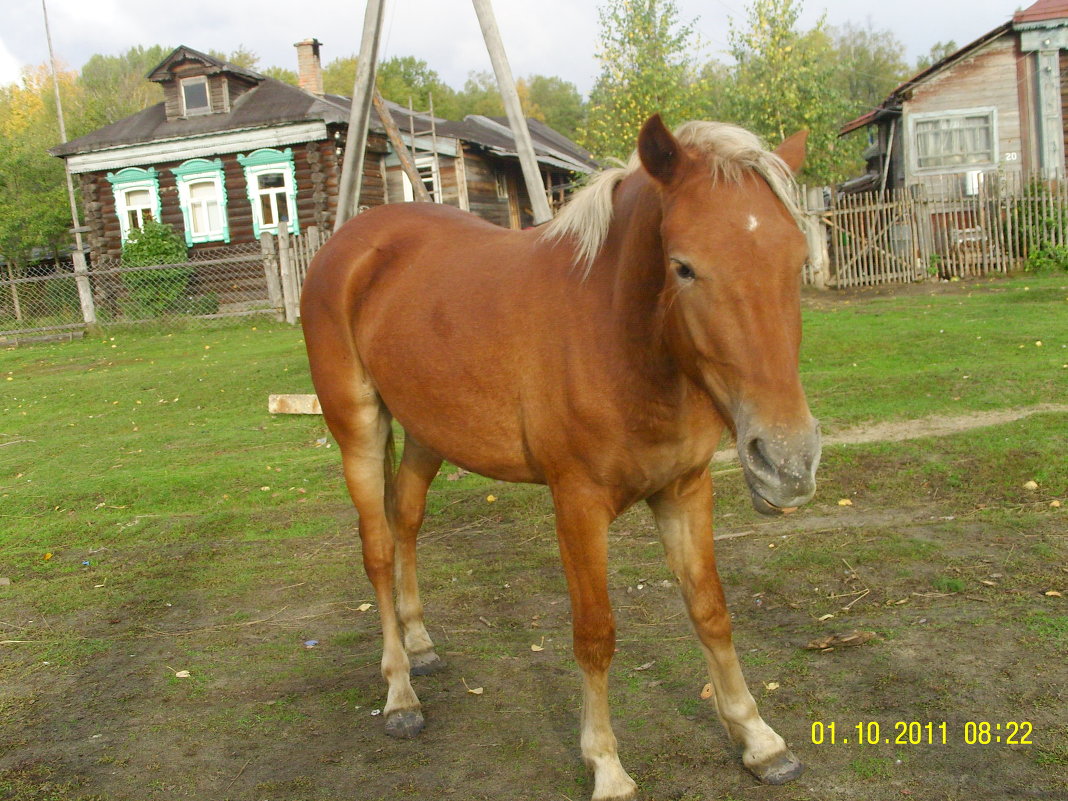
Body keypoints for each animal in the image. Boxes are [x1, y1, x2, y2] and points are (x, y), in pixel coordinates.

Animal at [301, 114, 824, 801]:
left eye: (796, 261)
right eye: (683, 267)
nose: (787, 462)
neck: (616, 334)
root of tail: (353, 242)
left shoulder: (685, 489)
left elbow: (711, 611)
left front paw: (759, 739)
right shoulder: (577, 504)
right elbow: (595, 634)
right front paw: (606, 765)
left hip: (427, 432)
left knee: (406, 518)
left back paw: (421, 645)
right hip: (358, 430)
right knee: (379, 549)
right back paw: (400, 695)